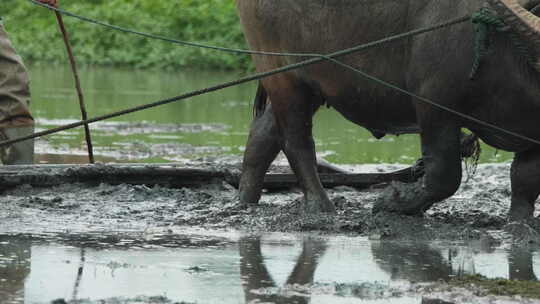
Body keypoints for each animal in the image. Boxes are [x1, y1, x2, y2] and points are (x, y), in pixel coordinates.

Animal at [238, 0, 540, 220]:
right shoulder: (434, 106)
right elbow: (444, 174)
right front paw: (391, 202)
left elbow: (525, 179)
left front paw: (520, 224)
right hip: (283, 76)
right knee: (296, 141)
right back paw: (320, 207)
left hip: (311, 86)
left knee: (263, 136)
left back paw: (246, 202)